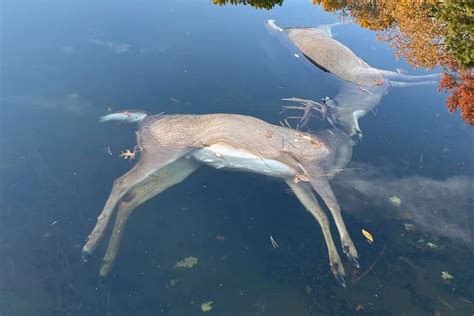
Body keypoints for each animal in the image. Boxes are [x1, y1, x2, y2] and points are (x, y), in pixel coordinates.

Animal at [83, 110, 362, 288]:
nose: (357, 135)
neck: (332, 148)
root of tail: (144, 120)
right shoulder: (314, 172)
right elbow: (333, 206)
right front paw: (352, 252)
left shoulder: (293, 180)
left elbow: (319, 214)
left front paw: (338, 269)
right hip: (161, 153)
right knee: (120, 183)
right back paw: (88, 248)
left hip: (184, 165)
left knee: (131, 198)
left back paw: (104, 268)